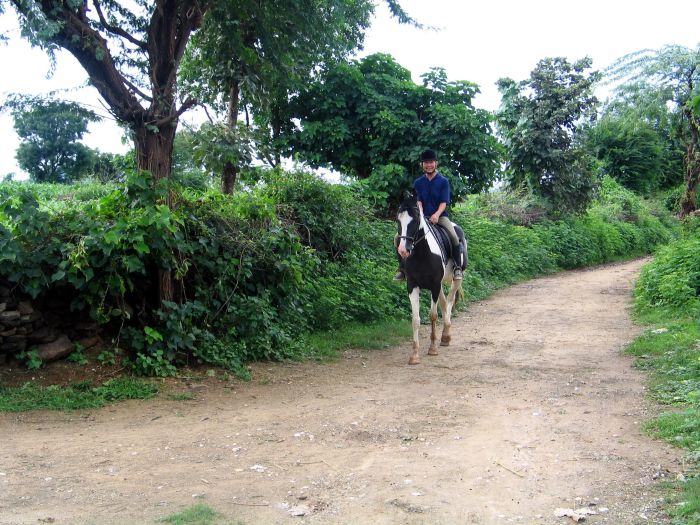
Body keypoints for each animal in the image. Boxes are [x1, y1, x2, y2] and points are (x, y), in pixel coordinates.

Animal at [394, 191, 464, 364]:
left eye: (415, 220)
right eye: (398, 219)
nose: (403, 250)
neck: (422, 253)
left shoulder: (434, 285)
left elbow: (433, 316)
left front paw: (432, 349)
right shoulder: (412, 286)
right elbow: (415, 319)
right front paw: (414, 354)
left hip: (455, 280)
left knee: (449, 303)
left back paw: (446, 335)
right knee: (444, 304)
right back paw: (444, 337)